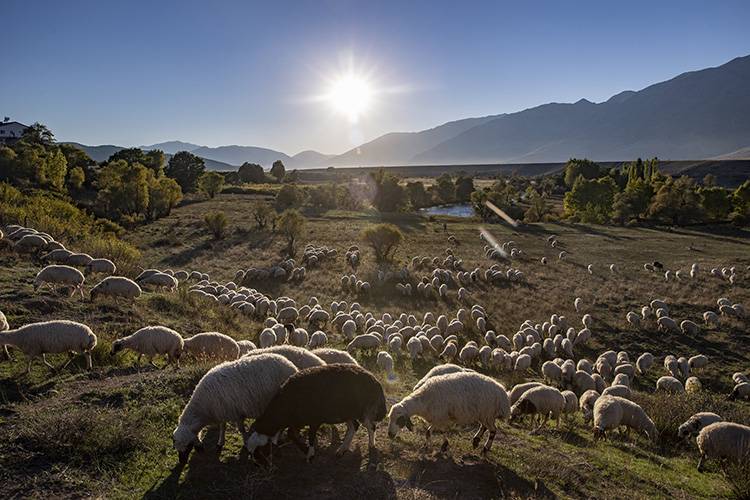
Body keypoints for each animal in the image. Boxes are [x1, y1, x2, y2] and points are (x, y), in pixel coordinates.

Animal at [247, 364, 388, 460]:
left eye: (261, 451)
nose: (263, 468)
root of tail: (375, 381)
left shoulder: (314, 420)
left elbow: (310, 436)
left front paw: (309, 453)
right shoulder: (297, 421)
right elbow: (291, 435)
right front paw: (305, 450)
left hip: (363, 411)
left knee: (371, 426)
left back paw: (371, 444)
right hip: (346, 412)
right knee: (354, 426)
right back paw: (342, 449)